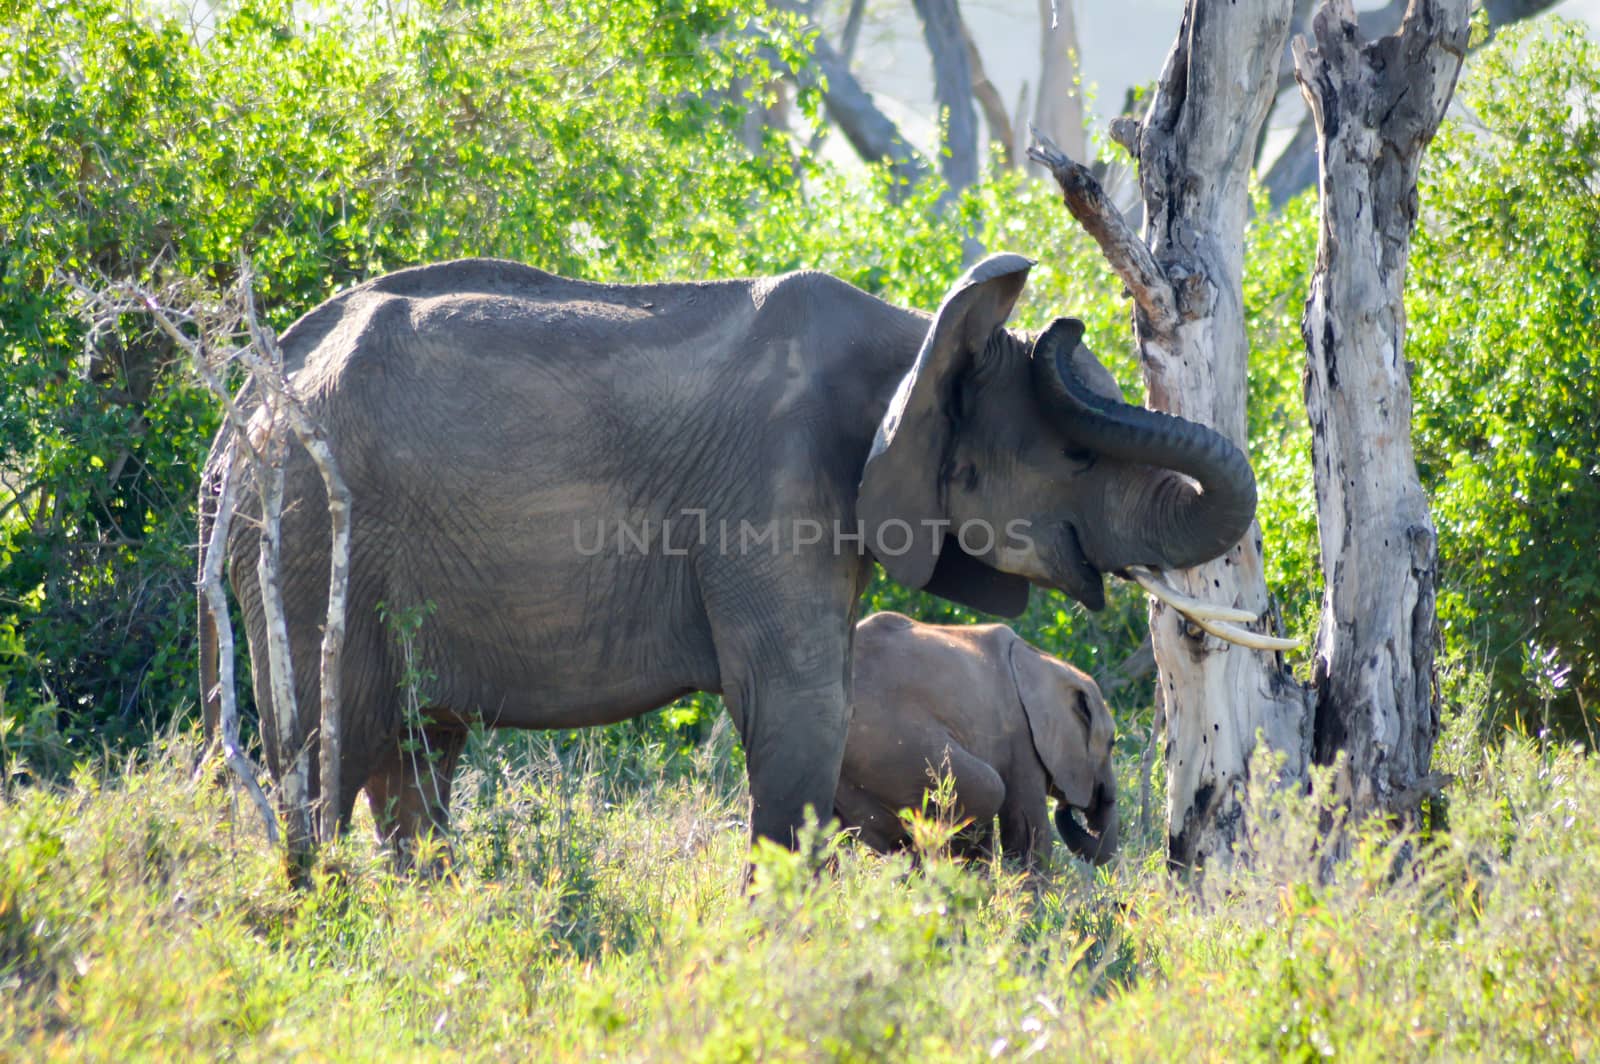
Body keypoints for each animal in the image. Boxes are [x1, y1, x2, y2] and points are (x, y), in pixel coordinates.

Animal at [844, 611, 1120, 870]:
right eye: (1111, 744)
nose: (1064, 806)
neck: (1042, 660)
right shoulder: (1020, 736)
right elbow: (1028, 831)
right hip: (893, 749)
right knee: (989, 791)